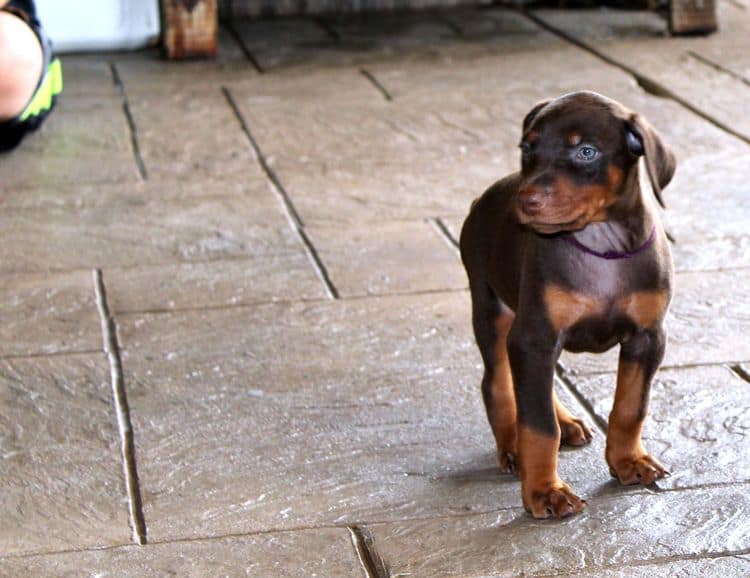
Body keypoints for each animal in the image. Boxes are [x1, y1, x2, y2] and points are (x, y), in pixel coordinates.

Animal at [462, 91, 680, 516]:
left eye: (586, 151)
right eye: (527, 148)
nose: (526, 200)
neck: (601, 245)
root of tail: (481, 198)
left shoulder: (648, 337)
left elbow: (631, 406)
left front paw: (628, 461)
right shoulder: (536, 336)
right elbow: (537, 424)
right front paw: (544, 491)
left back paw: (566, 421)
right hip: (491, 306)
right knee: (498, 381)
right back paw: (511, 444)